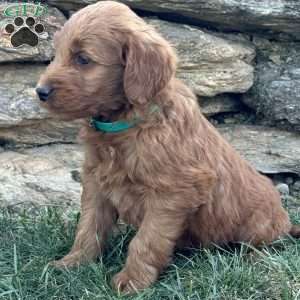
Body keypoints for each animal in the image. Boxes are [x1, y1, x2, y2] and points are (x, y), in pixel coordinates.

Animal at [36, 0, 298, 292]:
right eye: (57, 54)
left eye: (83, 59)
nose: (40, 91)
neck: (126, 122)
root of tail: (286, 220)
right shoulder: (96, 183)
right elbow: (89, 227)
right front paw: (72, 263)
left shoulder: (173, 193)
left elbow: (146, 240)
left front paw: (132, 280)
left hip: (259, 224)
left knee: (269, 244)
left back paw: (254, 257)